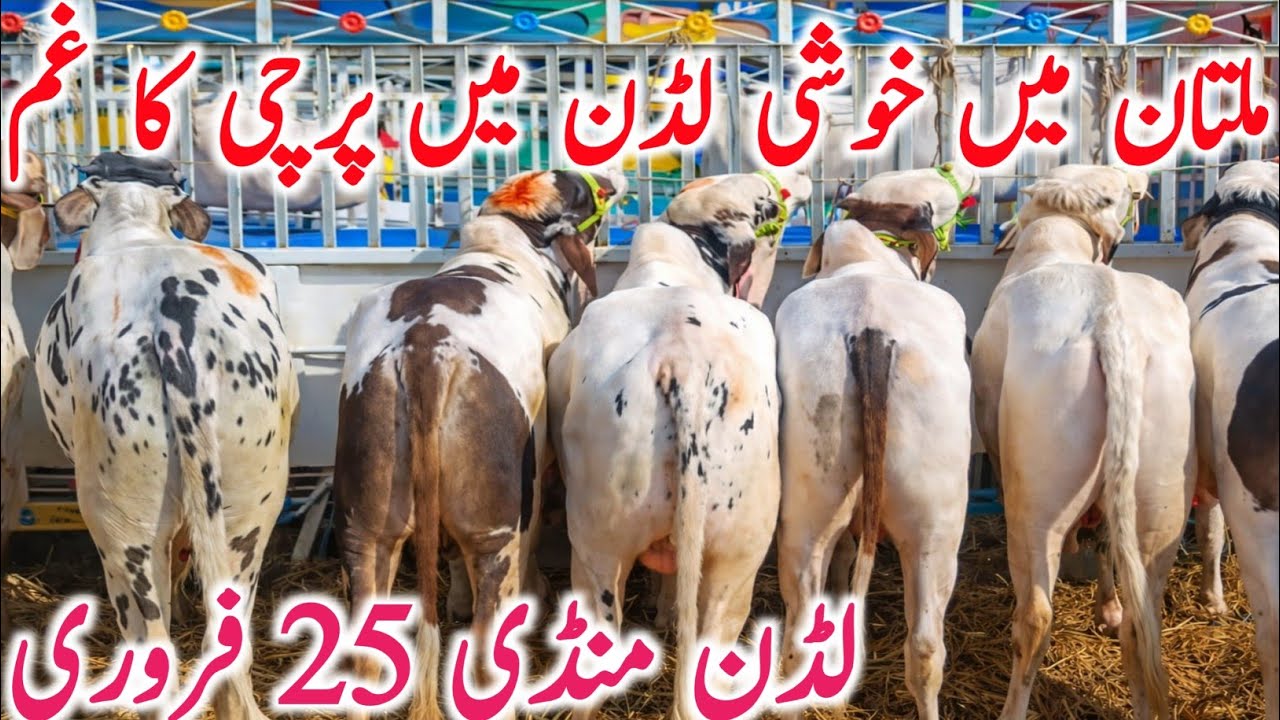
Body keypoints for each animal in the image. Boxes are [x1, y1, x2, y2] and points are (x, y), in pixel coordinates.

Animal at [332, 168, 624, 720]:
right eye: (580, 189)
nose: (613, 177)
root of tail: (424, 348)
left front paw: (457, 603)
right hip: (496, 526)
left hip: (366, 523)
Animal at [970, 164, 1194, 720]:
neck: (1057, 245)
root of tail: (1112, 328)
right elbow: (1105, 541)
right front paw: (1105, 607)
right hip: (1161, 491)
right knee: (1141, 623)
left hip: (1039, 490)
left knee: (1035, 618)